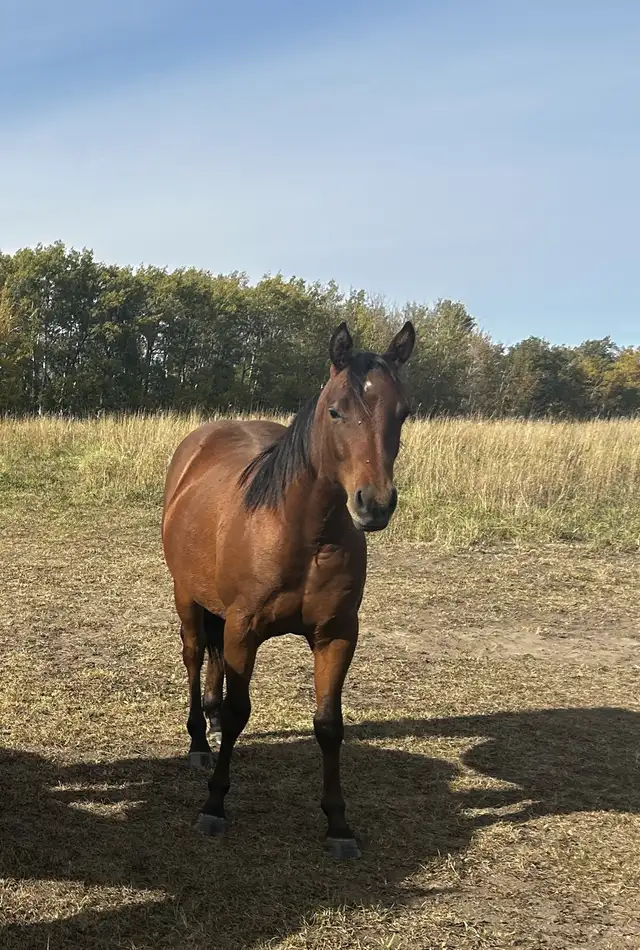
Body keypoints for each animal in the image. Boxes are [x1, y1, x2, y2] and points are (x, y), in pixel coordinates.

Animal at [161, 320, 415, 859]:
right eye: (336, 409)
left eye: (403, 412)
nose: (374, 504)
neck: (304, 532)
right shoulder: (244, 629)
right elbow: (240, 711)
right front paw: (214, 804)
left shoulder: (336, 635)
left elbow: (329, 724)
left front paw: (338, 824)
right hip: (186, 598)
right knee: (195, 657)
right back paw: (199, 741)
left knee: (212, 662)